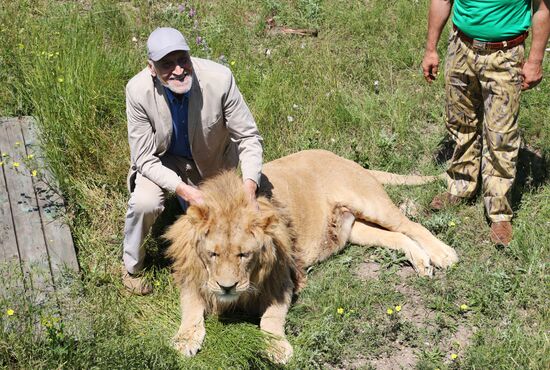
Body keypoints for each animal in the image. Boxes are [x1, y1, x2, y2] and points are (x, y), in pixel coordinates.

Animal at [166, 150, 460, 364]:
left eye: (243, 255)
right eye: (213, 254)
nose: (227, 287)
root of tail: (342, 157)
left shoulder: (282, 281)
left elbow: (270, 319)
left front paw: (277, 348)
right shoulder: (191, 277)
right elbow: (190, 309)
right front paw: (184, 340)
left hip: (372, 204)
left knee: (411, 225)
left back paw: (443, 254)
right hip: (356, 229)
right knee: (398, 236)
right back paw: (422, 262)